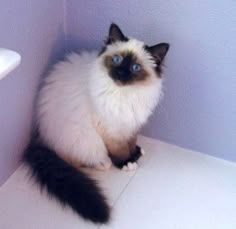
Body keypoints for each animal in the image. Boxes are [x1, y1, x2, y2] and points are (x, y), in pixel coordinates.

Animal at [22, 23, 170, 224]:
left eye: (135, 67)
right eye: (117, 60)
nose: (121, 73)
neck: (125, 94)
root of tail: (39, 138)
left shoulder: (130, 124)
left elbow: (130, 142)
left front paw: (135, 153)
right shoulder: (109, 128)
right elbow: (119, 150)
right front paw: (127, 163)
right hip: (85, 140)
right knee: (76, 160)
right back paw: (103, 163)